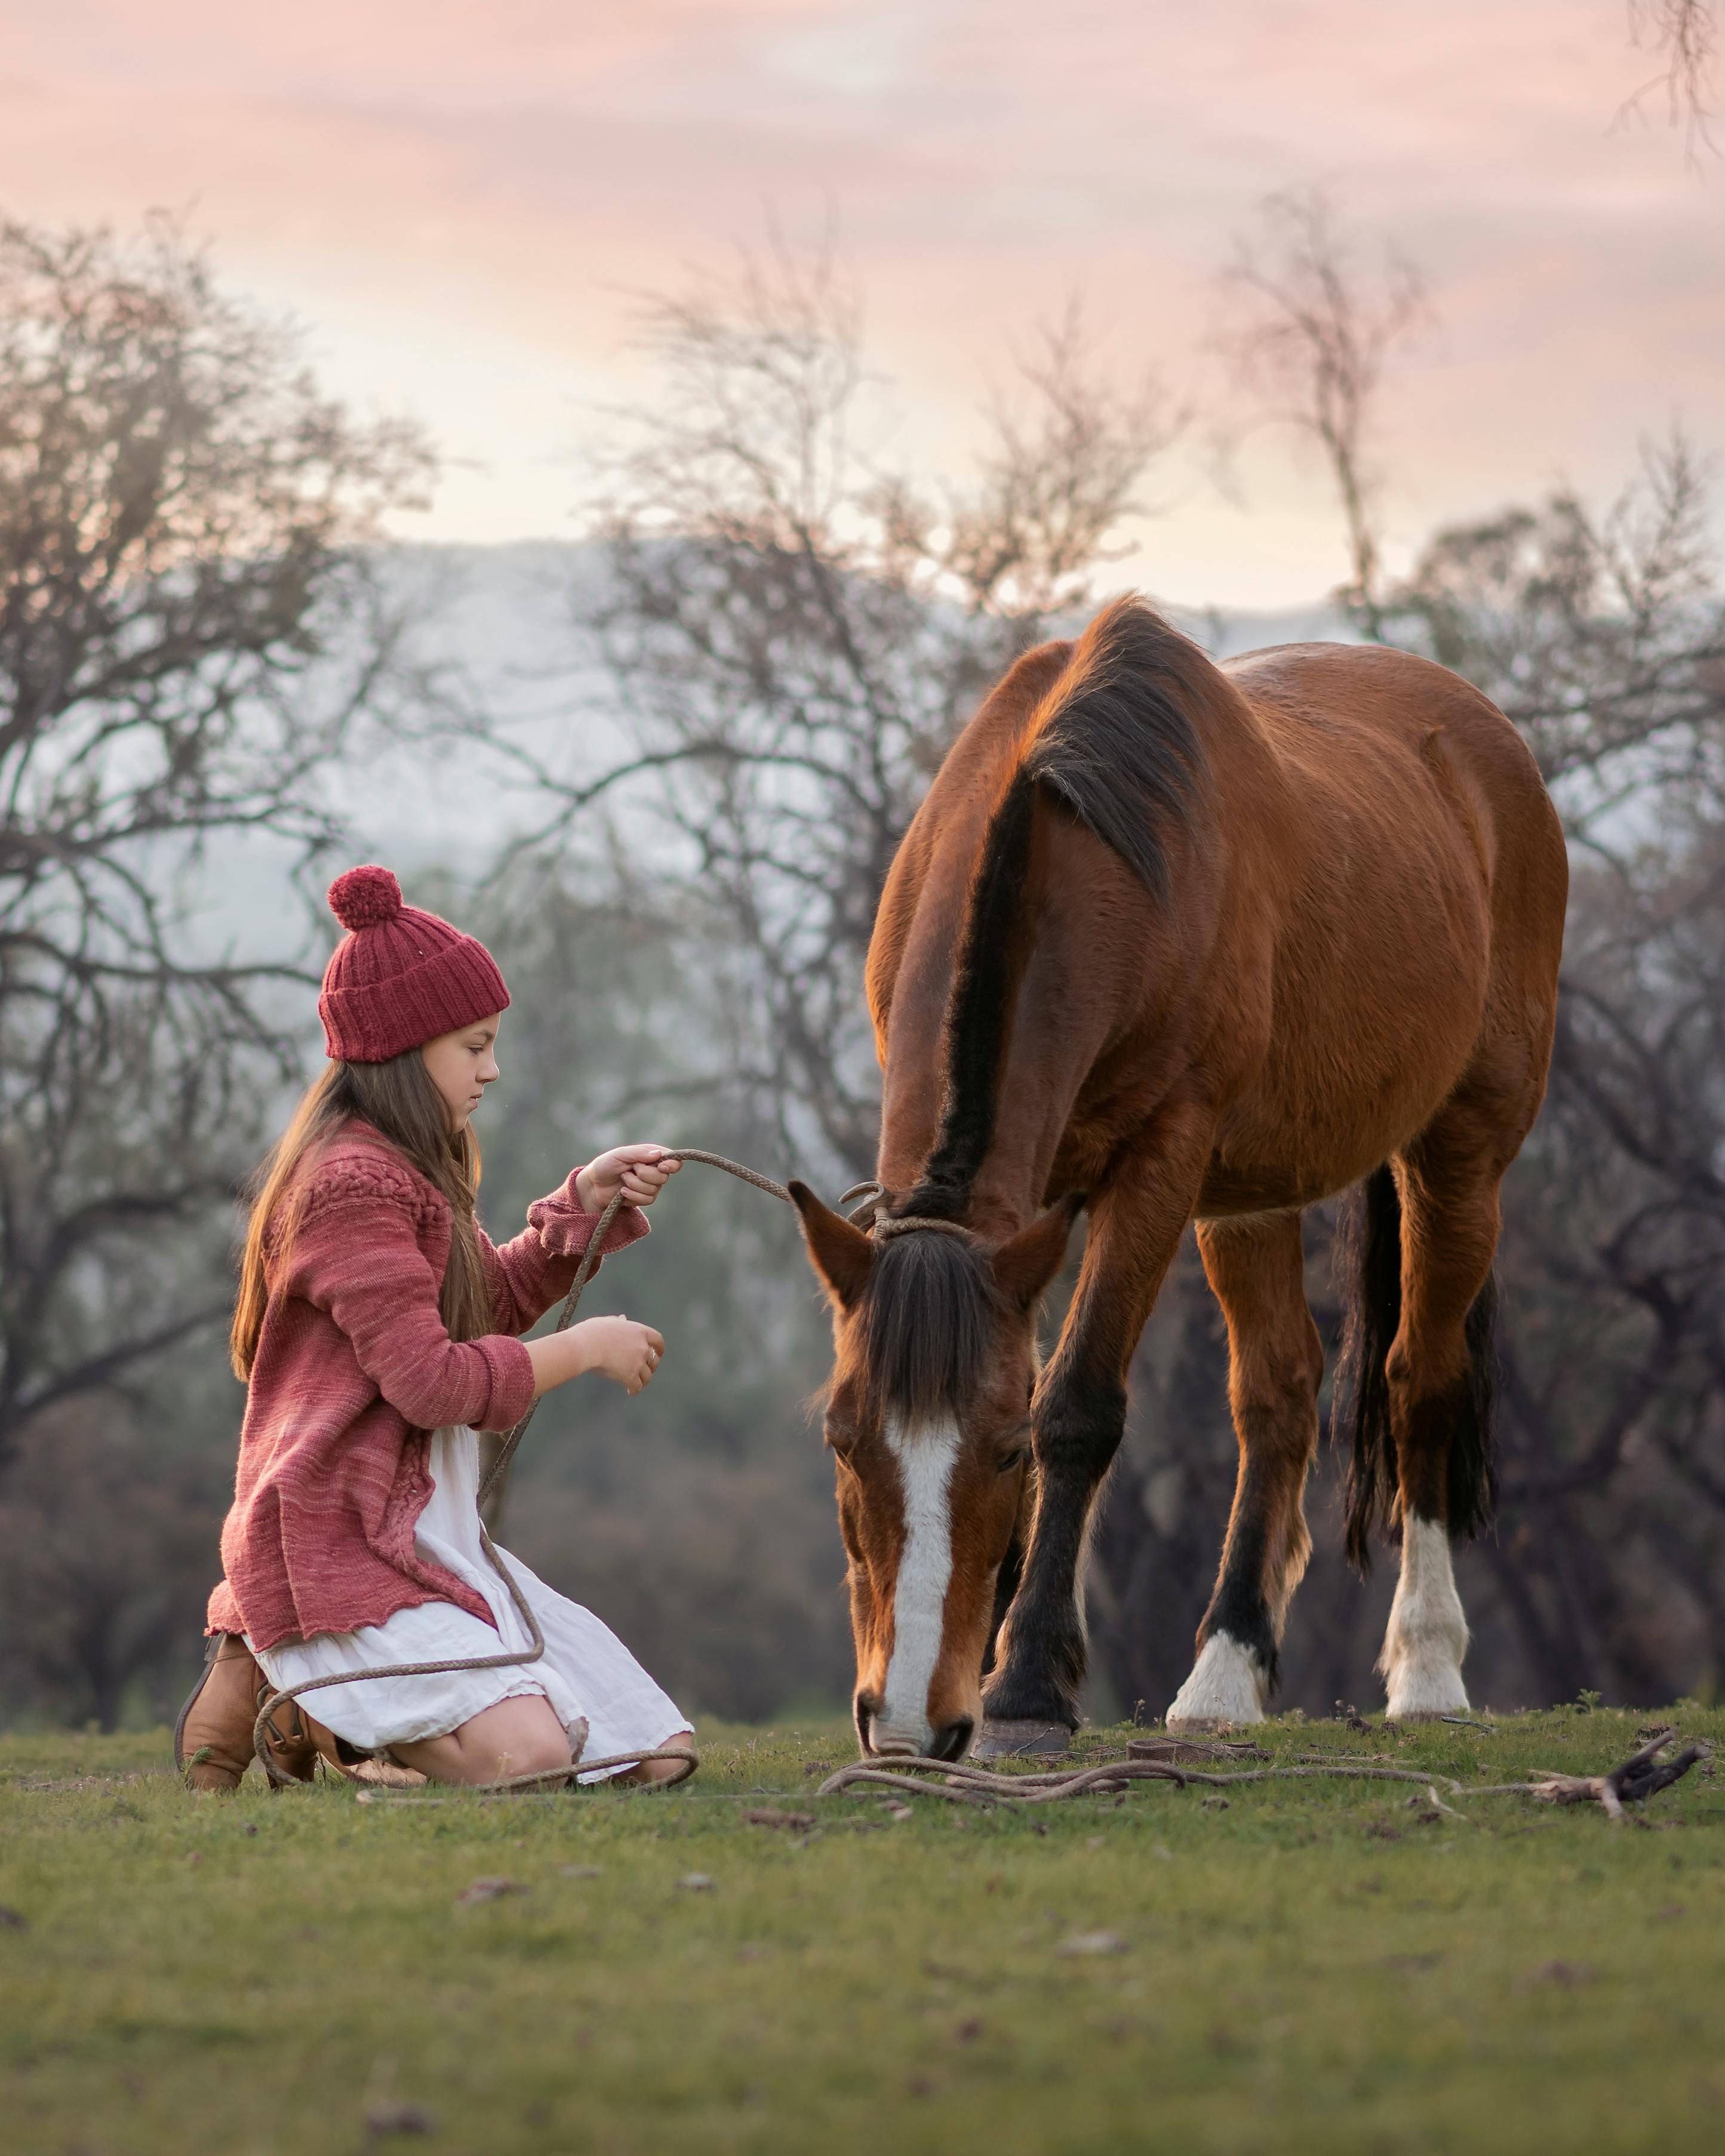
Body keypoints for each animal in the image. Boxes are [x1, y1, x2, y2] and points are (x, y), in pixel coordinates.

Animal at [789, 590, 1569, 1751]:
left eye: (1005, 1452)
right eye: (843, 1441)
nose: (909, 1725)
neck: (1079, 855)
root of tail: (1483, 740)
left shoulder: (1158, 1163)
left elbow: (1077, 1405)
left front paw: (1024, 1683)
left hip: (1457, 1158)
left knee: (1418, 1383)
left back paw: (1427, 1663)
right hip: (1246, 1198)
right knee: (1277, 1399)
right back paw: (1224, 1673)